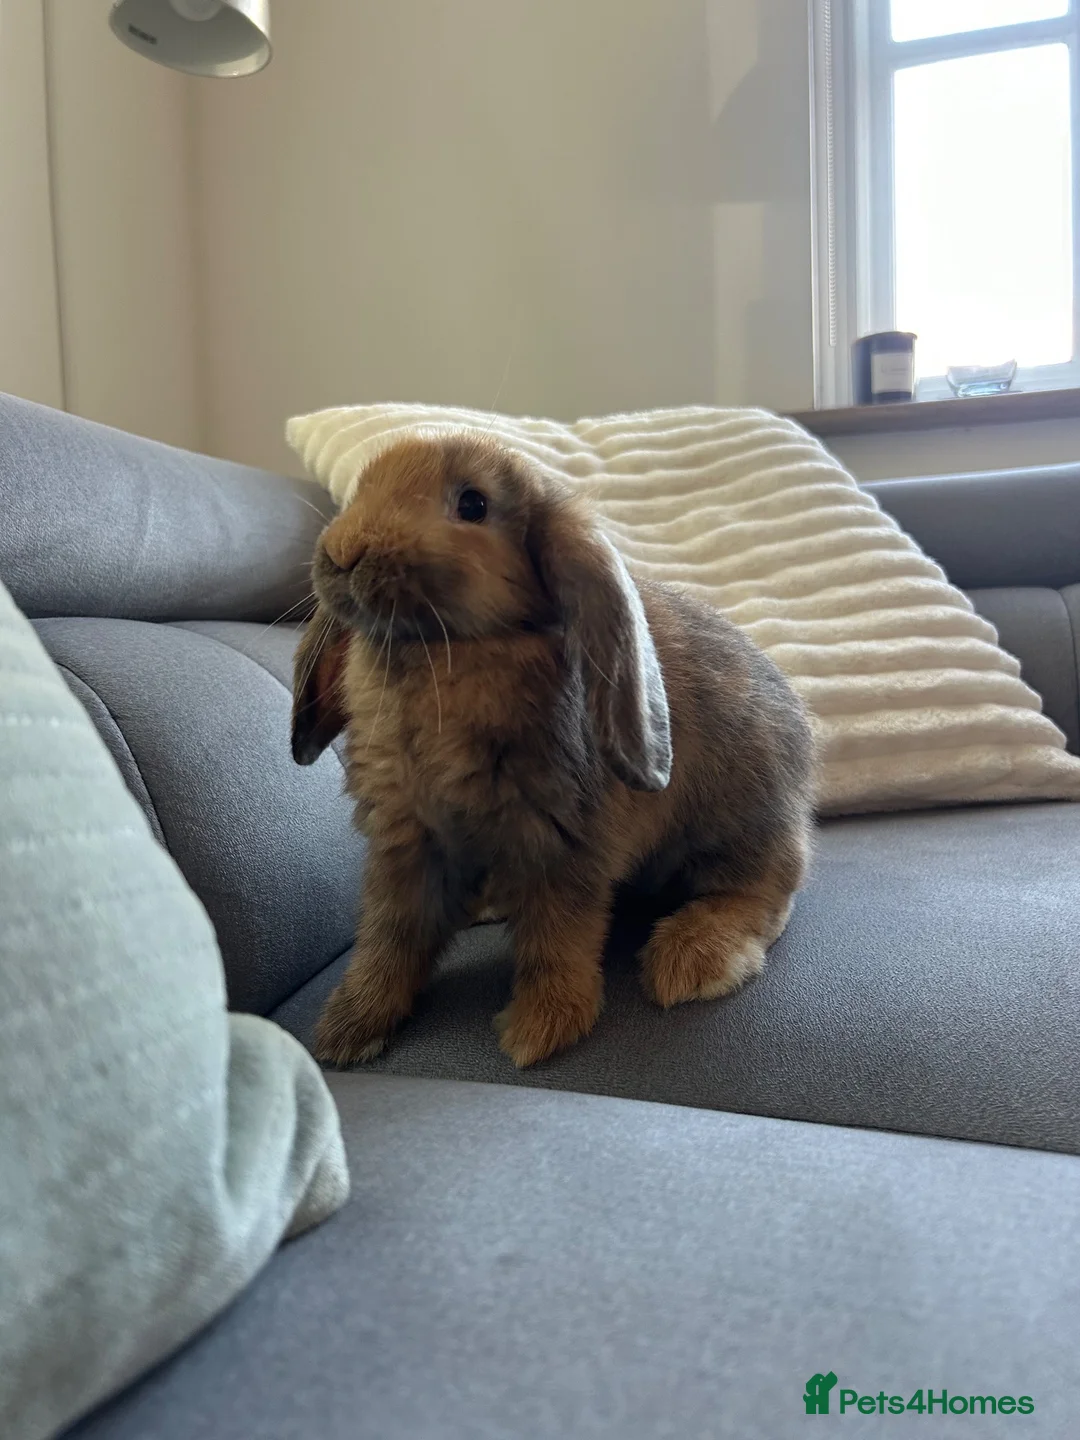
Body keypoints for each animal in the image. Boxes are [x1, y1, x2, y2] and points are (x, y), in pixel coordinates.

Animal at [292, 433, 815, 1068]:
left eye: (473, 505)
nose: (343, 551)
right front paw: (346, 1030)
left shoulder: (562, 845)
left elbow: (557, 939)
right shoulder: (406, 847)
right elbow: (389, 940)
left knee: (766, 891)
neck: (437, 655)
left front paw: (540, 1030)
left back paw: (691, 960)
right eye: (360, 490)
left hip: (737, 826)